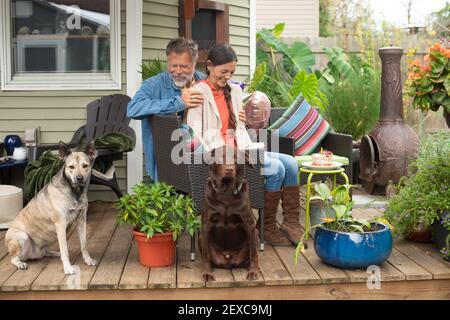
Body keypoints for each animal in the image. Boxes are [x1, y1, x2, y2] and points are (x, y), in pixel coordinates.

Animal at [5, 141, 97, 274]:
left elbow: (84, 244)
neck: (75, 192)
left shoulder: (82, 220)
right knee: (13, 258)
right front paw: (68, 268)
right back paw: (20, 263)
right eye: (71, 167)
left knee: (45, 252)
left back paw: (54, 253)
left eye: (85, 166)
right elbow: (65, 249)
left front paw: (88, 260)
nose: (79, 178)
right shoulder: (61, 224)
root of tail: (29, 255)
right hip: (22, 237)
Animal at [198, 146, 258, 282]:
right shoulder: (205, 226)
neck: (226, 194)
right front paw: (207, 273)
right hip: (200, 237)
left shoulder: (250, 225)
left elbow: (253, 254)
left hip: (255, 234)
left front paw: (253, 271)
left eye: (236, 158)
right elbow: (206, 256)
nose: (229, 169)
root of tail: (227, 257)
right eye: (221, 156)